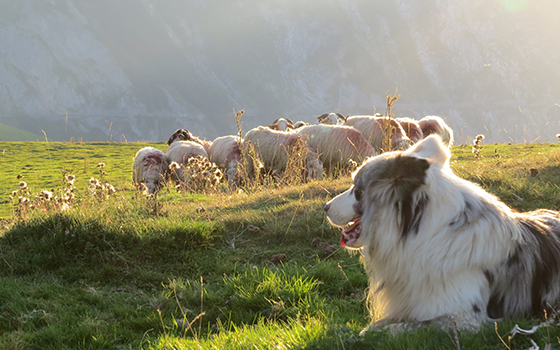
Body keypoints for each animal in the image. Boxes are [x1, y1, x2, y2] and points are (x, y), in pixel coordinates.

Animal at [324, 135, 560, 334]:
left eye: (357, 190)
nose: (325, 207)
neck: (427, 234)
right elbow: (374, 326)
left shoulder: (465, 318)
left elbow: (399, 328)